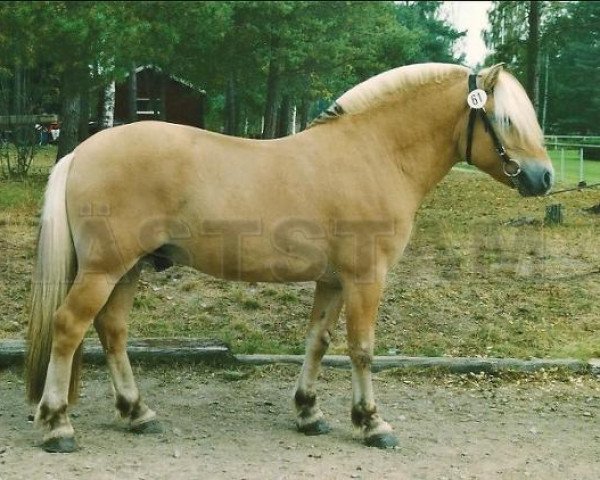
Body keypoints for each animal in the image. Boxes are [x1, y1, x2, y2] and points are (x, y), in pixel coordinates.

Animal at [27, 62, 552, 452]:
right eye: (506, 120)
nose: (543, 177)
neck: (374, 154)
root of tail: (81, 151)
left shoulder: (333, 281)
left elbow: (318, 342)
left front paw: (309, 412)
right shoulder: (366, 278)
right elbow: (362, 349)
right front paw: (372, 423)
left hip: (129, 269)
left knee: (112, 330)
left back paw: (137, 413)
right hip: (103, 269)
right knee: (69, 327)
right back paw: (56, 425)